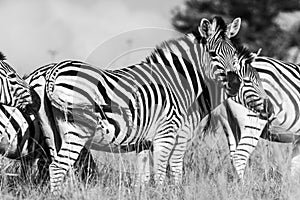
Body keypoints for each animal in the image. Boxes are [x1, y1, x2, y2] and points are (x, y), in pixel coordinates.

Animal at [39, 15, 251, 192]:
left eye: (234, 55)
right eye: (213, 54)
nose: (234, 83)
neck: (174, 81)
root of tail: (53, 73)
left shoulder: (144, 141)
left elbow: (142, 178)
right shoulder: (166, 133)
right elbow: (160, 174)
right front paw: (163, 194)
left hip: (52, 130)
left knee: (57, 165)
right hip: (78, 129)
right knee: (58, 167)